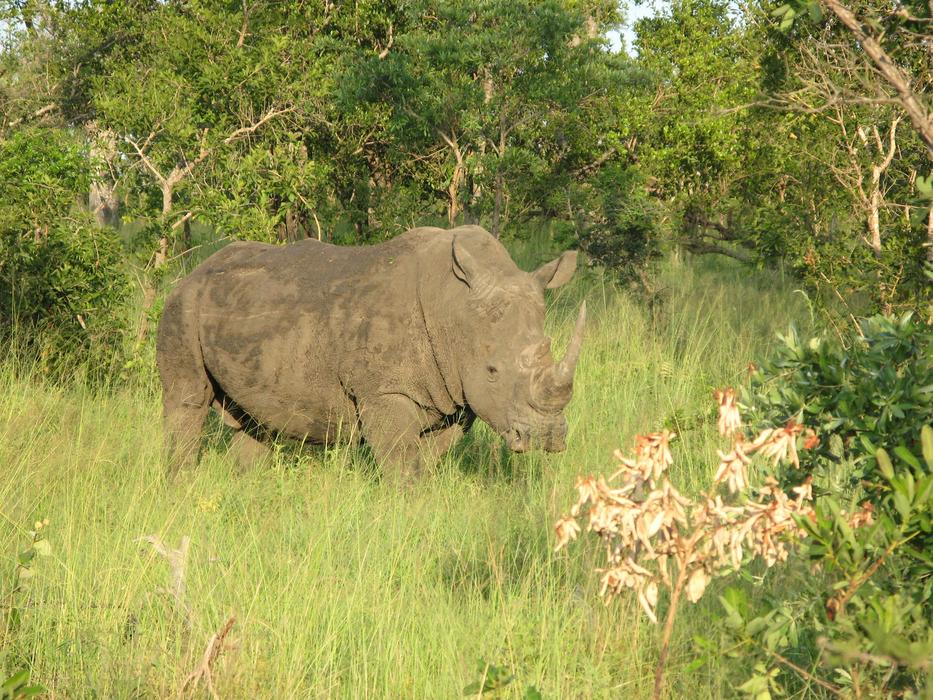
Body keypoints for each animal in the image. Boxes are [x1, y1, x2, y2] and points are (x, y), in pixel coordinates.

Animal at [156, 224, 586, 480]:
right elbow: (401, 464)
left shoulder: (455, 398)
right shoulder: (384, 391)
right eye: (493, 370)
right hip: (182, 304)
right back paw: (181, 484)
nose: (546, 437)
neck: (455, 310)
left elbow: (426, 461)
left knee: (256, 421)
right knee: (188, 401)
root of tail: (194, 272)